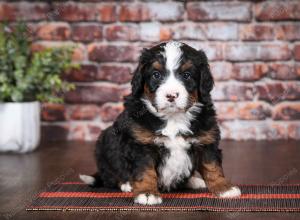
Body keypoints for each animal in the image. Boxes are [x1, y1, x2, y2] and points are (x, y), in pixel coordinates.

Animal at [80, 40, 241, 205]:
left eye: (187, 75)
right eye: (156, 75)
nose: (171, 95)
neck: (173, 118)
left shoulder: (206, 140)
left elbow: (212, 166)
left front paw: (224, 188)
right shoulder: (140, 144)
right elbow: (145, 170)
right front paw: (147, 193)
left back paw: (193, 181)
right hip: (105, 143)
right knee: (110, 176)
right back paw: (126, 184)